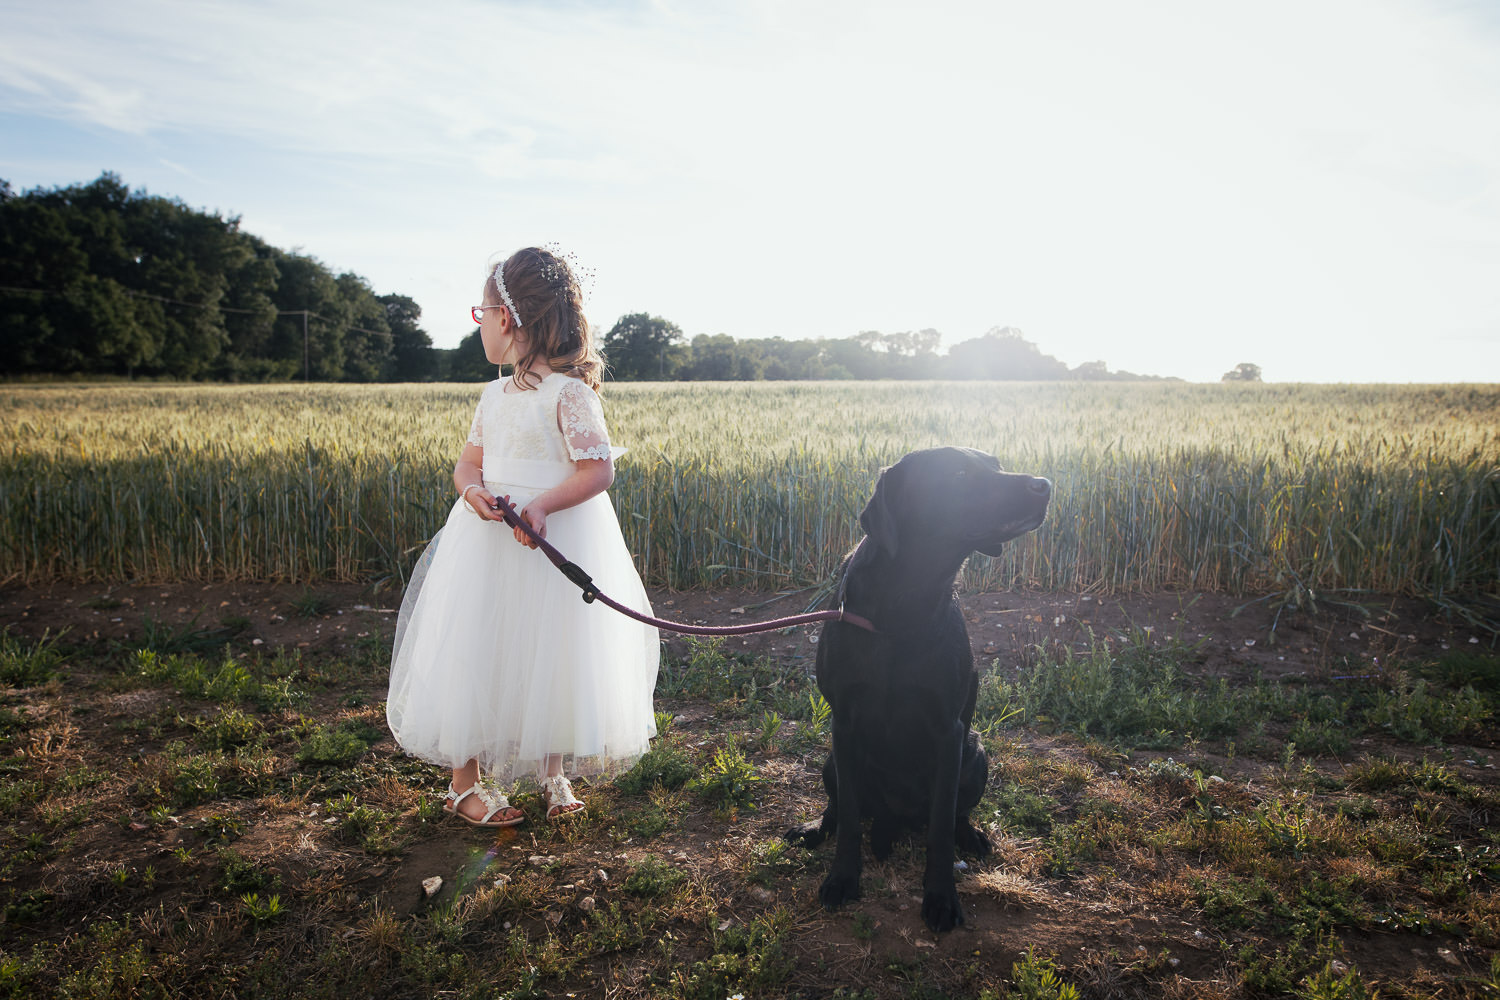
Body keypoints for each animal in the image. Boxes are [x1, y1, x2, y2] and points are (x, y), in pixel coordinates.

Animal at [792, 446, 1050, 929]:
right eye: (960, 472)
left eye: (995, 463)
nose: (1045, 485)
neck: (904, 603)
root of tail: (894, 817)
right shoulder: (843, 723)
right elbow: (850, 817)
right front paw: (842, 879)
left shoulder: (949, 732)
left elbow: (941, 828)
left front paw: (942, 897)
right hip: (831, 761)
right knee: (839, 807)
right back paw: (816, 829)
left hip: (976, 755)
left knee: (957, 814)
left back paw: (972, 836)